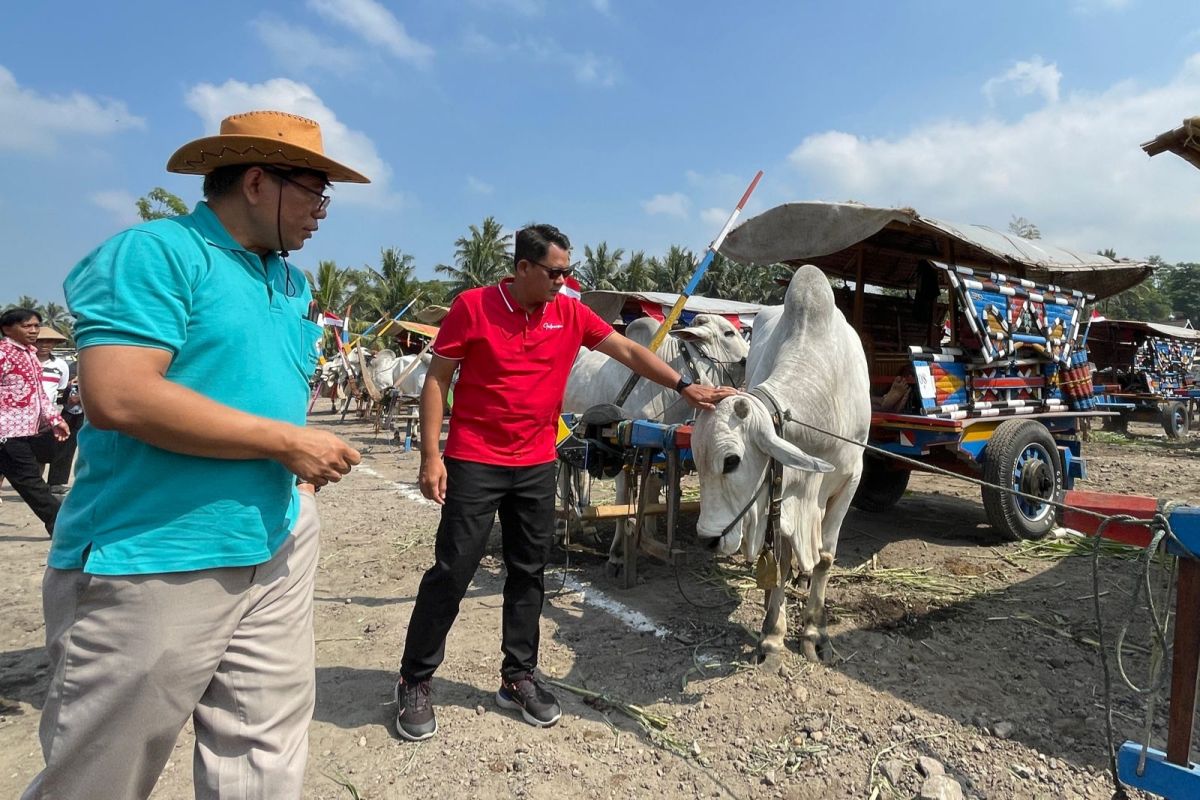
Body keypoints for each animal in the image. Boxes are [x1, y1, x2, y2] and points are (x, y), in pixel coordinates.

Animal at [691, 268, 868, 662]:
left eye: (731, 461)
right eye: (697, 460)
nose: (708, 540)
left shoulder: (851, 480)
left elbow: (825, 558)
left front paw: (815, 632)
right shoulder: (782, 491)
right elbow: (781, 564)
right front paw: (772, 634)